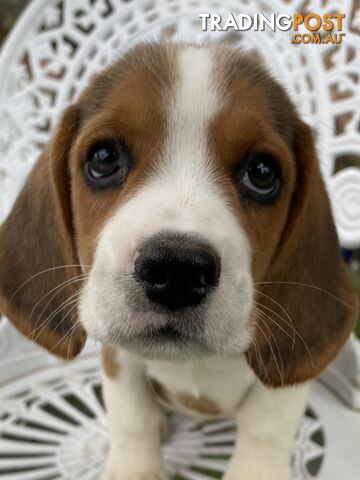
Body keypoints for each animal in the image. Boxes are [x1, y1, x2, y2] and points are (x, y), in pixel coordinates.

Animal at [0, 42, 356, 480]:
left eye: (262, 172)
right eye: (103, 157)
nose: (176, 271)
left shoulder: (282, 380)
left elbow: (266, 426)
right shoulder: (119, 358)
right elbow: (131, 415)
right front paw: (134, 468)